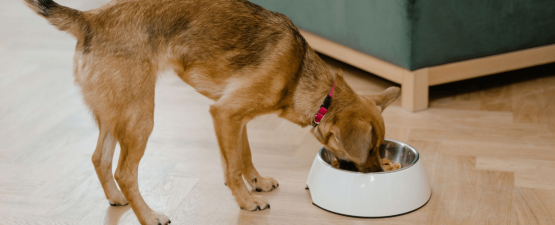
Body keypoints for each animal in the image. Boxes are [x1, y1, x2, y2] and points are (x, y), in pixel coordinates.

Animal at [25, 0, 400, 224]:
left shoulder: (236, 118)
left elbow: (243, 156)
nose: (378, 173)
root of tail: (90, 19)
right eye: (369, 149)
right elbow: (232, 167)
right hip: (141, 116)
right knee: (125, 172)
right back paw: (149, 215)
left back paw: (117, 199)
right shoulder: (225, 113)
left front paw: (257, 183)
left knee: (99, 159)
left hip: (114, 115)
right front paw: (246, 202)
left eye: (380, 149)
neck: (304, 79)